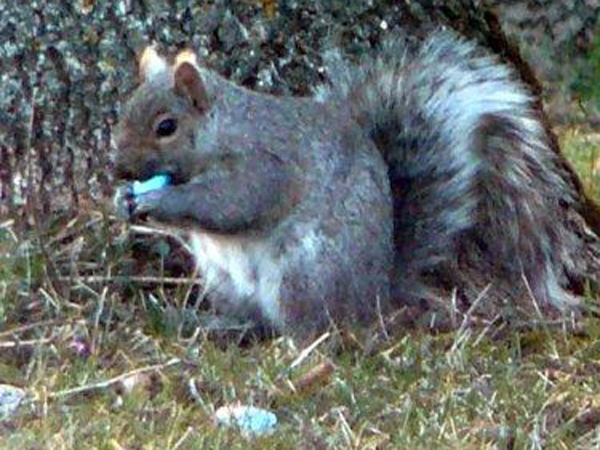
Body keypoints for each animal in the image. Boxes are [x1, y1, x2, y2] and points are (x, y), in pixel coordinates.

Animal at [113, 30, 580, 338]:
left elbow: (231, 202)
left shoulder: (264, 164)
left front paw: (162, 199)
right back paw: (215, 324)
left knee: (315, 326)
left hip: (303, 274)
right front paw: (125, 199)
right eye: (125, 108)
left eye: (166, 127)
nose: (119, 167)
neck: (220, 131)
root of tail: (374, 294)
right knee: (253, 318)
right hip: (223, 280)